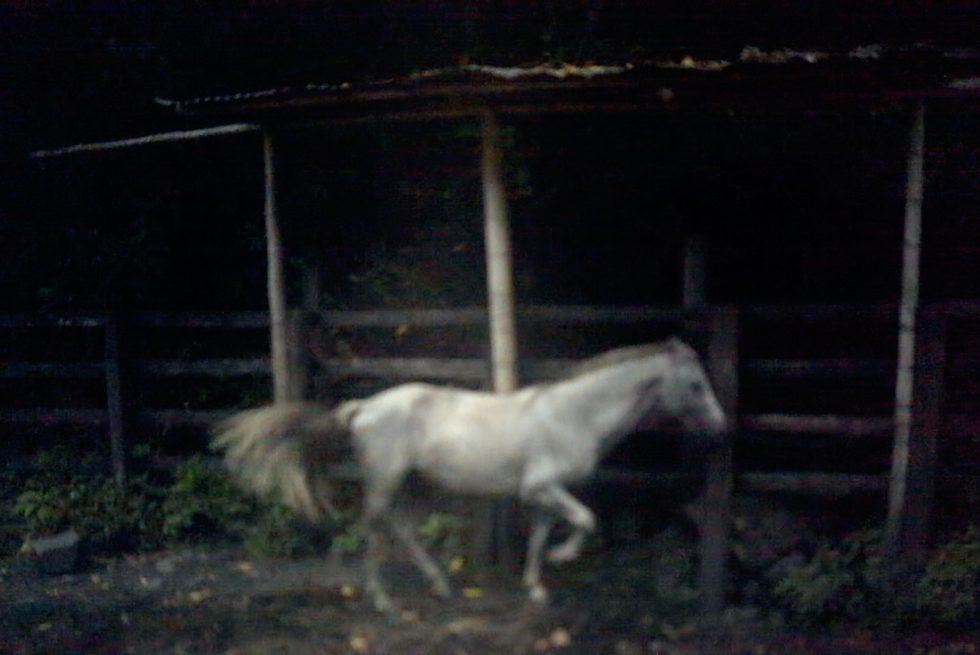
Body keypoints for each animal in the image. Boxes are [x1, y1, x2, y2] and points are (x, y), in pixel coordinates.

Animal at [212, 338, 728, 612]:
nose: (722, 429)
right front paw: (562, 559)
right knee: (375, 530)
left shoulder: (544, 494)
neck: (574, 415)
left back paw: (443, 587)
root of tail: (364, 408)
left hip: (421, 485)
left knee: (402, 529)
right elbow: (585, 520)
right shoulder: (542, 487)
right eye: (695, 385)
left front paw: (535, 586)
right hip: (386, 481)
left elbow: (541, 535)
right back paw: (384, 601)